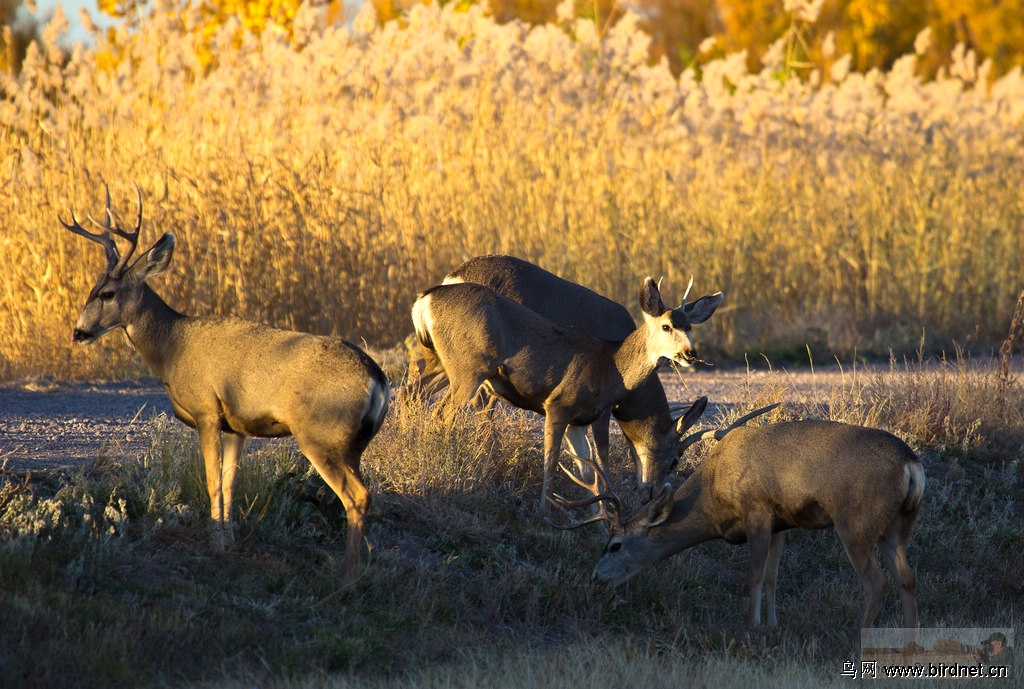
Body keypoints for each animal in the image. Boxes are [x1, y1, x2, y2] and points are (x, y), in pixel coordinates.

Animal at [60, 186, 387, 585]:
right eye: (91, 288)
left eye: (107, 294)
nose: (79, 332)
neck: (172, 348)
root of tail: (377, 378)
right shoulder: (236, 426)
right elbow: (231, 482)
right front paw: (227, 540)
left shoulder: (206, 410)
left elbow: (211, 479)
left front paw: (214, 542)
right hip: (353, 444)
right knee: (364, 493)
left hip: (321, 434)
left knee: (357, 496)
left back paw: (346, 577)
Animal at [411, 253, 724, 499]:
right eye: (674, 460)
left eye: (690, 328)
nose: (652, 494)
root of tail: (432, 293)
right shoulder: (598, 405)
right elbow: (600, 456)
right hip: (472, 367)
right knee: (462, 409)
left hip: (440, 358)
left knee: (412, 388)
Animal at [552, 397, 929, 630]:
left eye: (614, 545)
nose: (595, 578)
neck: (714, 494)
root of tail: (912, 465)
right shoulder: (781, 523)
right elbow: (773, 576)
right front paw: (772, 626)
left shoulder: (756, 510)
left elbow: (754, 575)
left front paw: (751, 626)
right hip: (897, 526)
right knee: (908, 579)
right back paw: (908, 645)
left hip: (855, 522)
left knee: (876, 582)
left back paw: (856, 641)